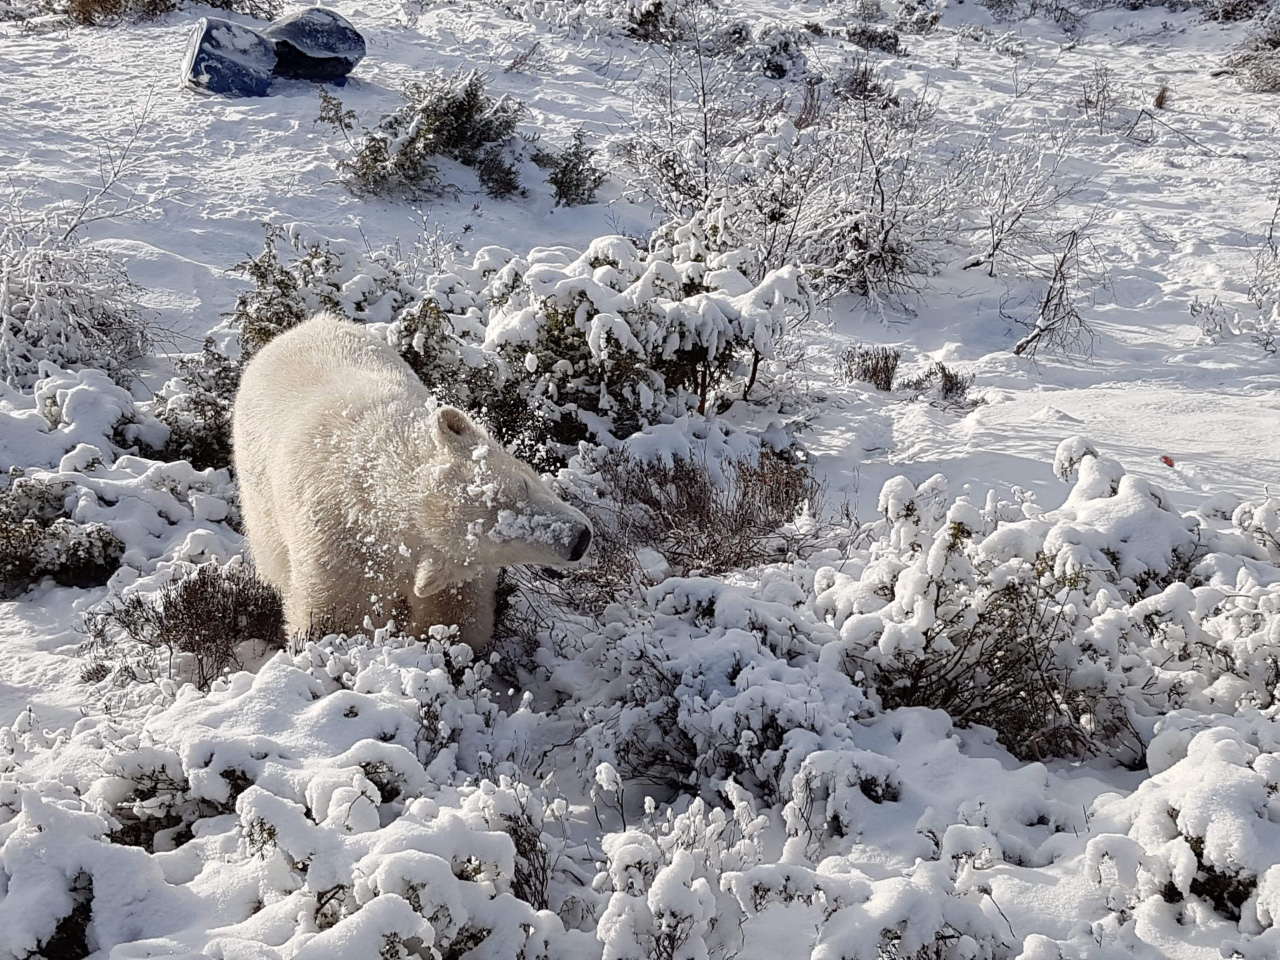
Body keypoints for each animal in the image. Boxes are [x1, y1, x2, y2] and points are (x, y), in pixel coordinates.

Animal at [230, 312, 588, 650]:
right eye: (499, 539)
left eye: (521, 486)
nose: (579, 540)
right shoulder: (342, 557)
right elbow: (335, 619)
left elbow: (456, 610)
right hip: (257, 489)